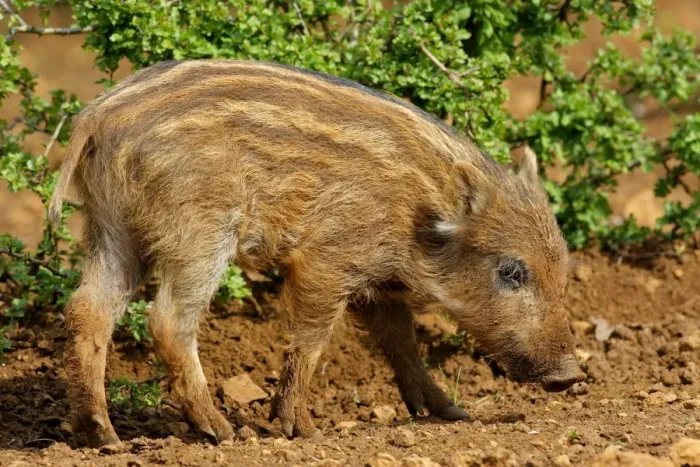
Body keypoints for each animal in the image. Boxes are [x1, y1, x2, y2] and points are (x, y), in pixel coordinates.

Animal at [49, 59, 584, 447]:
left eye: (562, 271)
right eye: (511, 271)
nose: (572, 376)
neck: (420, 214)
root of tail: (97, 117)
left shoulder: (380, 284)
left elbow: (401, 340)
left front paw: (452, 413)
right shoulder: (326, 259)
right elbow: (311, 339)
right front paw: (302, 430)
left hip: (112, 231)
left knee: (86, 310)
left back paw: (103, 437)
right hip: (199, 233)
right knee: (167, 321)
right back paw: (223, 432)